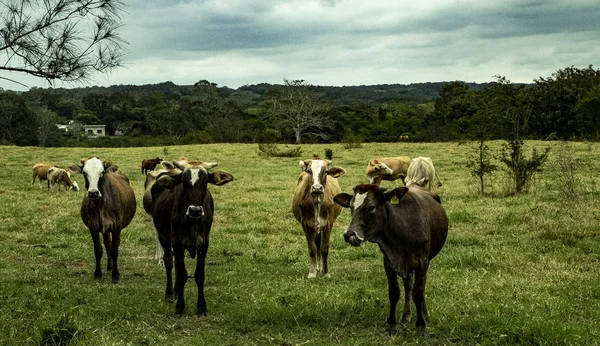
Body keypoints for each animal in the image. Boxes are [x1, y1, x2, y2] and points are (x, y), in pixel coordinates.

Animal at [149, 159, 233, 316]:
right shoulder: (177, 242)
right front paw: (180, 307)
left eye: (205, 181)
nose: (195, 210)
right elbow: (182, 274)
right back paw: (170, 294)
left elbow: (199, 275)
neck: (193, 221)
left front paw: (202, 307)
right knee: (169, 263)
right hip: (164, 237)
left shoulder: (204, 243)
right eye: (183, 181)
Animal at [336, 185, 448, 336]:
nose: (349, 235)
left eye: (371, 207)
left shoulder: (421, 262)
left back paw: (424, 315)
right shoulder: (389, 262)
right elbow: (394, 293)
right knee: (408, 285)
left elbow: (418, 293)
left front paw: (421, 326)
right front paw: (391, 325)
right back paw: (406, 316)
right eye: (351, 206)